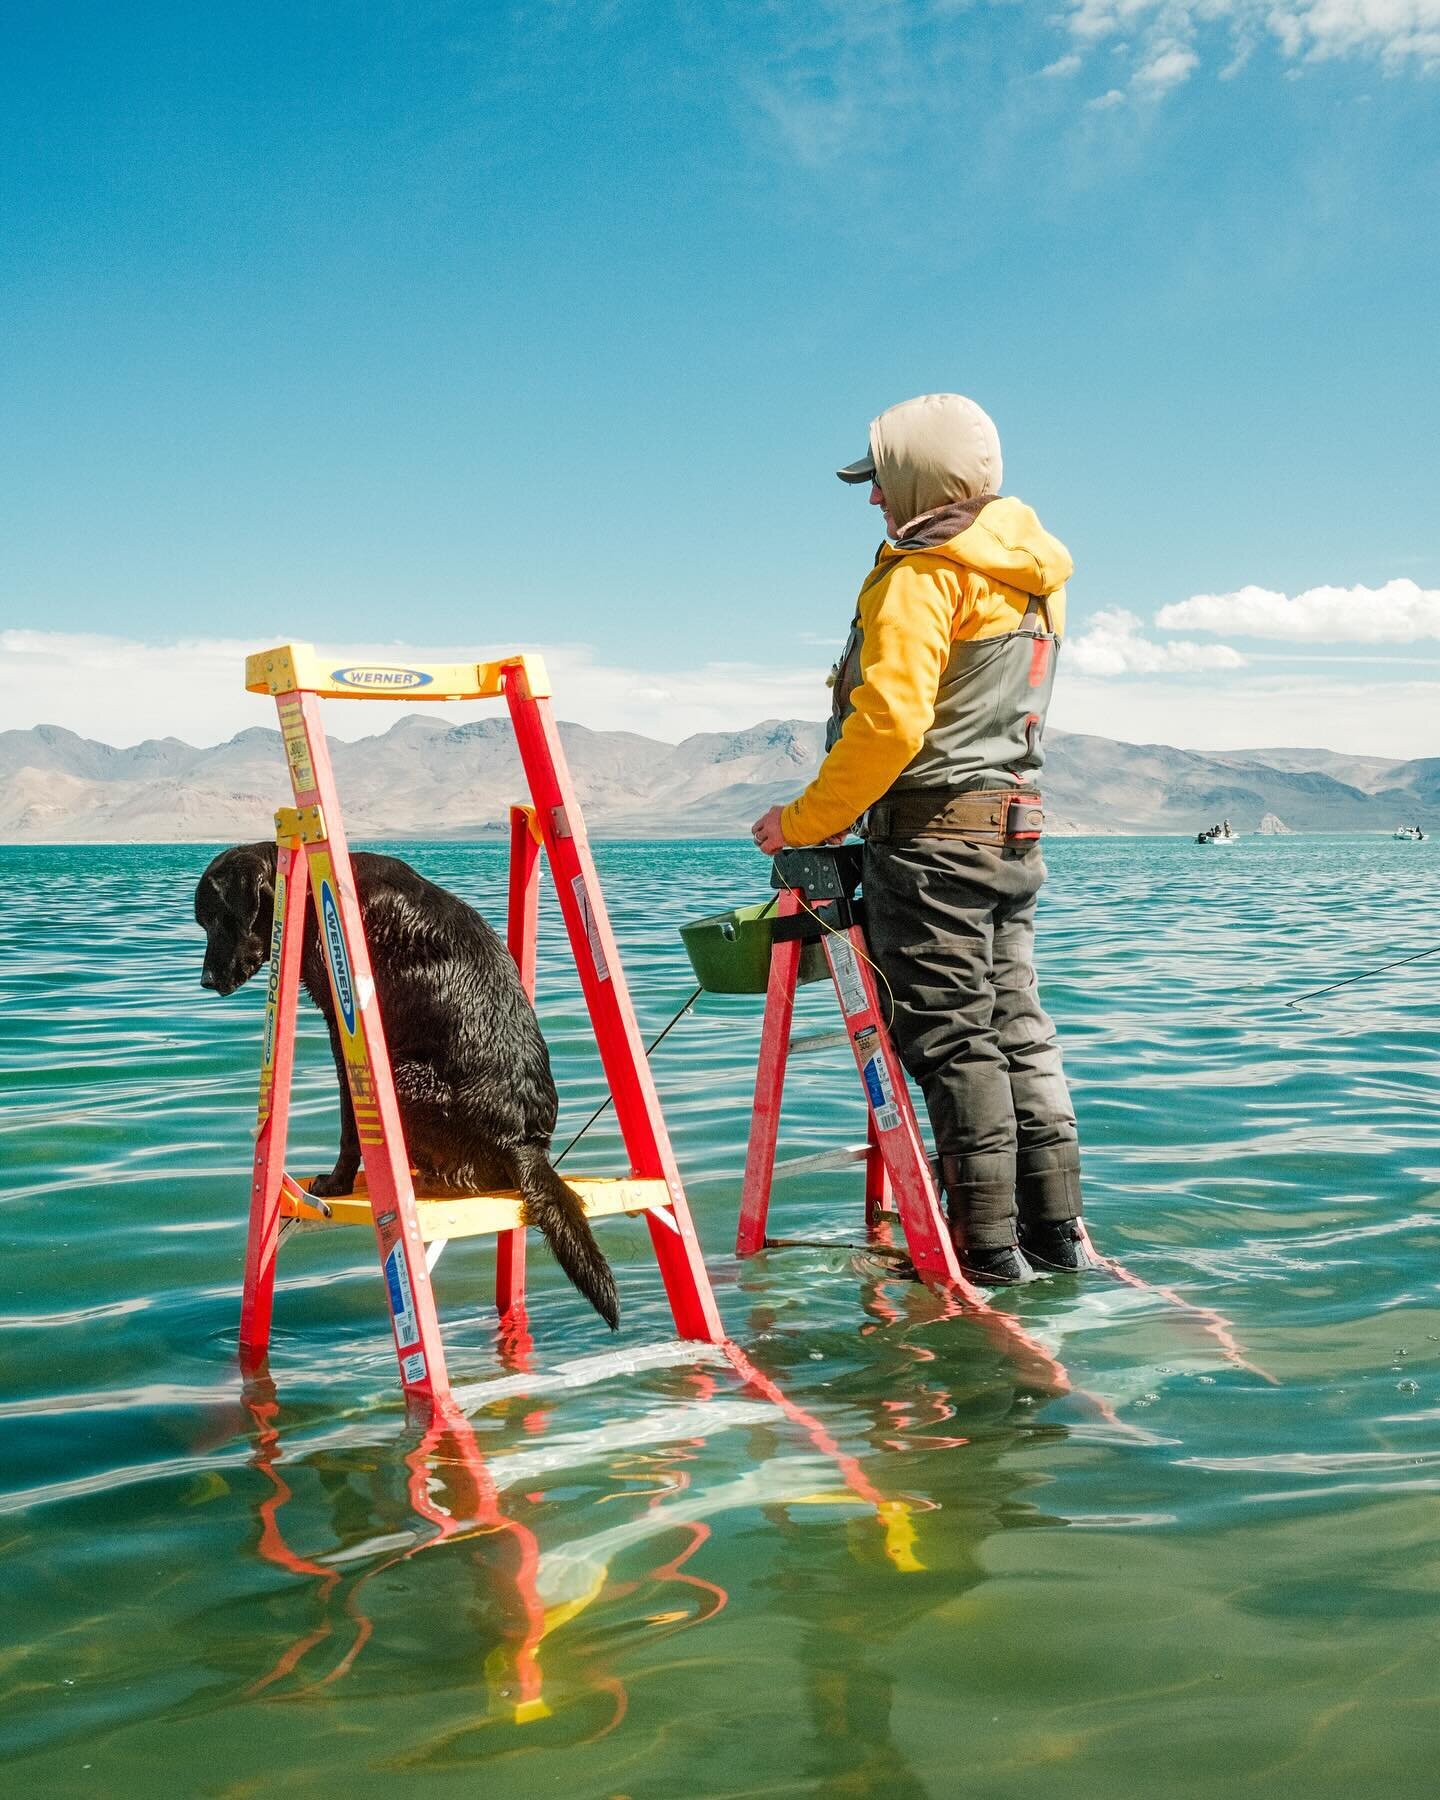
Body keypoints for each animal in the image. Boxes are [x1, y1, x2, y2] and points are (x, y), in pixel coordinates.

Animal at [192, 835, 619, 1332]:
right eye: (205, 922)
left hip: (401, 1076)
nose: (206, 980)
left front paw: (337, 1181)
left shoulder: (345, 1025)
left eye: (219, 919)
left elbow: (349, 1123)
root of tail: (524, 1143)